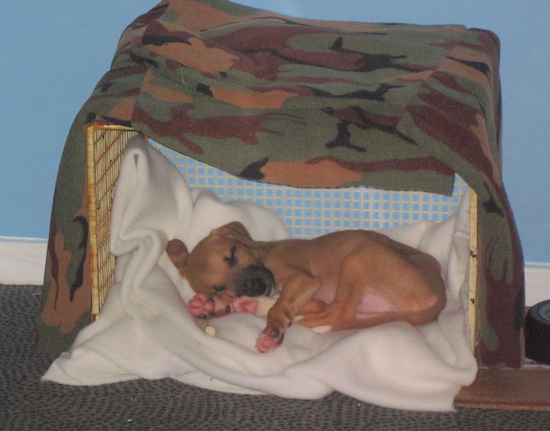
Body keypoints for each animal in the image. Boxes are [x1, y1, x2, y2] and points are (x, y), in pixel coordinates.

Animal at [166, 223, 446, 354]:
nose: (257, 287)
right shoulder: (305, 289)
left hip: (362, 254)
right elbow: (283, 305)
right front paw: (214, 304)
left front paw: (272, 326)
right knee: (332, 313)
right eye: (220, 286)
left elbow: (281, 308)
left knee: (337, 314)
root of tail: (440, 296)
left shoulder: (305, 280)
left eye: (233, 255)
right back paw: (248, 305)